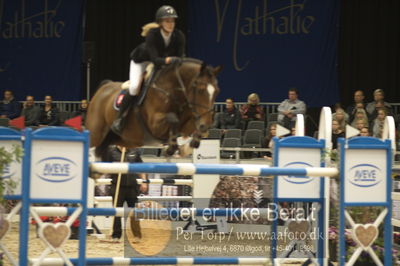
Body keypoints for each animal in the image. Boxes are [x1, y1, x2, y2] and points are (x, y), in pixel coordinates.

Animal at [86, 58, 222, 159]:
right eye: (200, 90)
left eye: (217, 91)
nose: (207, 123)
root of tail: (105, 86)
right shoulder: (155, 125)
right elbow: (173, 119)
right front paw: (171, 148)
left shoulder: (188, 123)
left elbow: (192, 128)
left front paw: (189, 145)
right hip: (95, 134)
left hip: (125, 139)